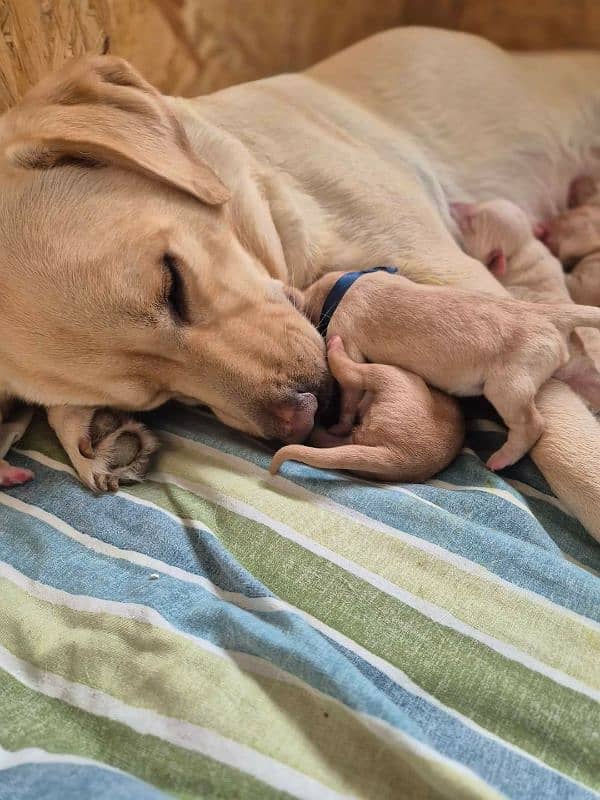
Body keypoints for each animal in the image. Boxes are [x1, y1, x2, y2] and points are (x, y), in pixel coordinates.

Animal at [0, 26, 600, 536]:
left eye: (173, 283)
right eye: (160, 399)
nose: (301, 418)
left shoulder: (461, 275)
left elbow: (569, 450)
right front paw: (94, 433)